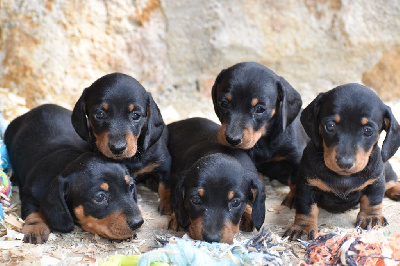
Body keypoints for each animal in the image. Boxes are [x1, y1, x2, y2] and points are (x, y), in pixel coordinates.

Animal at [4, 104, 143, 243]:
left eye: (131, 186)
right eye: (99, 197)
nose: (138, 223)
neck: (68, 161)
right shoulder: (30, 193)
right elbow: (31, 210)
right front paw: (35, 227)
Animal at [71, 72, 171, 214]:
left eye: (136, 115)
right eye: (99, 114)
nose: (117, 148)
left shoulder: (164, 162)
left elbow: (165, 184)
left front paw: (168, 204)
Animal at [211, 61, 308, 207]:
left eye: (260, 109)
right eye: (223, 103)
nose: (232, 139)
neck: (263, 140)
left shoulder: (296, 157)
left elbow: (296, 180)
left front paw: (294, 198)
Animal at [284, 83, 400, 241]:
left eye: (368, 130)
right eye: (330, 126)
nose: (345, 163)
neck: (343, 177)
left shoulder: (375, 181)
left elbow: (373, 199)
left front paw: (371, 217)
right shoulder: (307, 185)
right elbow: (306, 208)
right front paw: (303, 227)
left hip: (385, 168)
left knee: (391, 181)